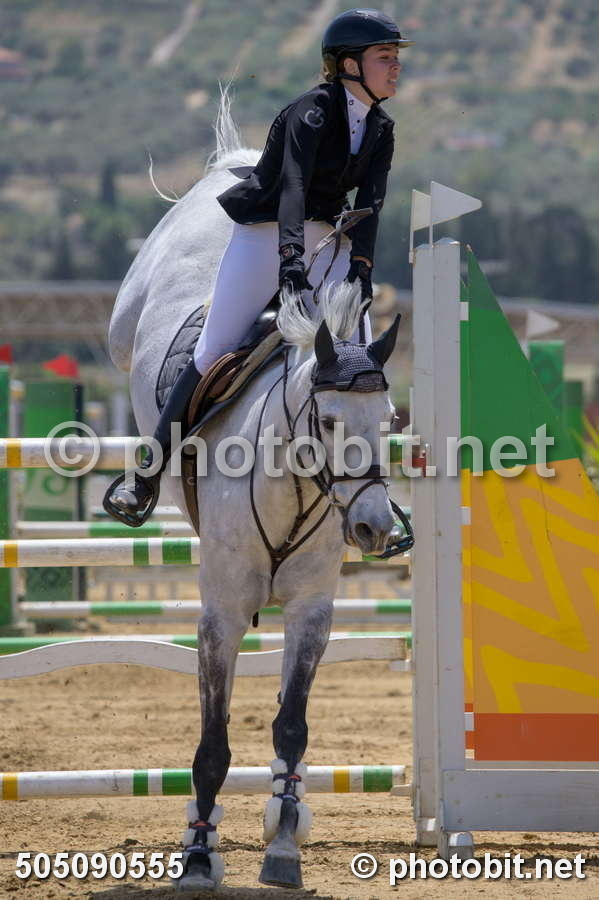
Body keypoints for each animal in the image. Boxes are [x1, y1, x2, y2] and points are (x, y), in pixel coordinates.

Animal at [108, 86, 402, 891]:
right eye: (327, 420)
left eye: (390, 420)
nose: (374, 528)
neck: (293, 487)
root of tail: (233, 167)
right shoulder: (222, 611)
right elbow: (212, 741)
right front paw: (198, 854)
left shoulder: (309, 611)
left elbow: (290, 726)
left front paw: (284, 842)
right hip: (126, 319)